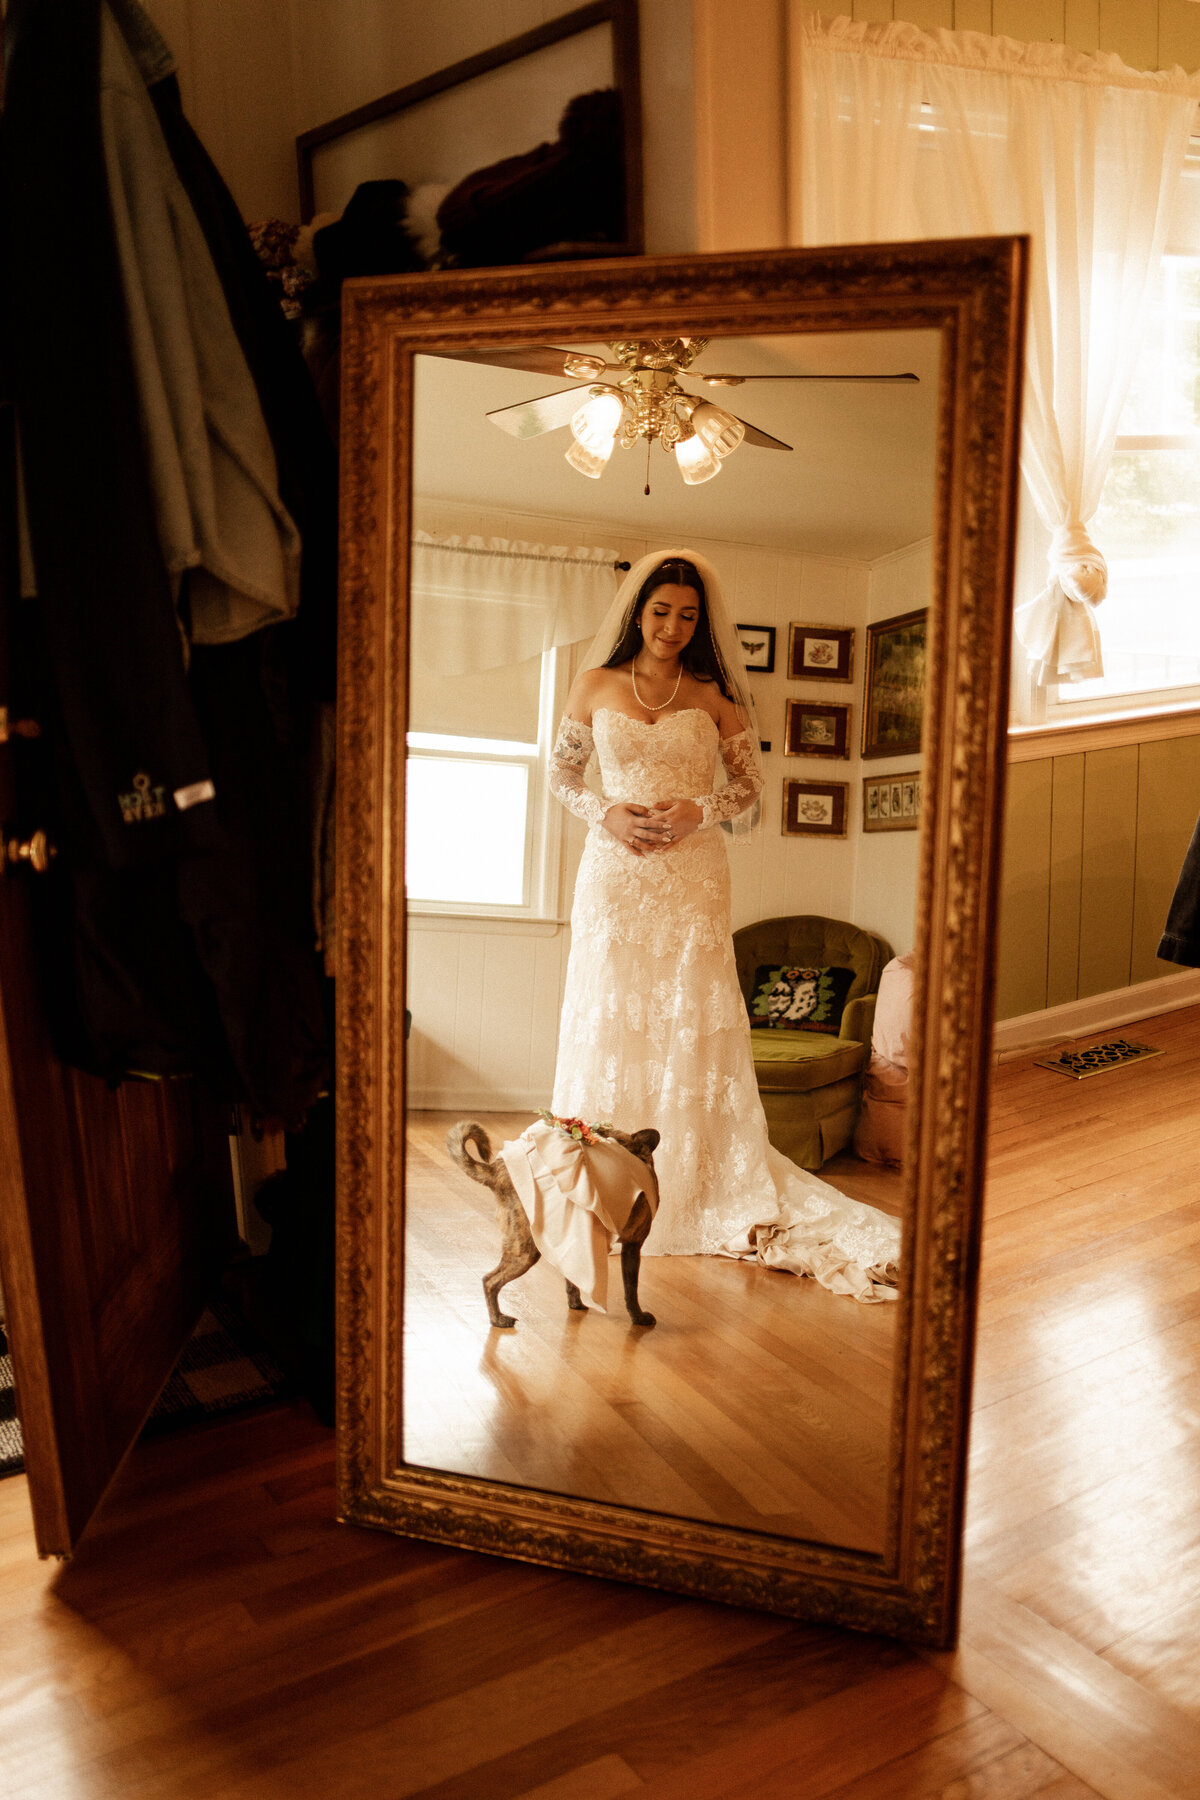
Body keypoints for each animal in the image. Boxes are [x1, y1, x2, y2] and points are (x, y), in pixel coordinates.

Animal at [446, 1116, 662, 1332]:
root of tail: (498, 1170)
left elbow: (572, 1281)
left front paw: (575, 1303)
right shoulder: (633, 1246)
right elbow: (631, 1290)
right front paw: (639, 1318)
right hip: (525, 1251)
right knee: (489, 1281)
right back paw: (498, 1319)